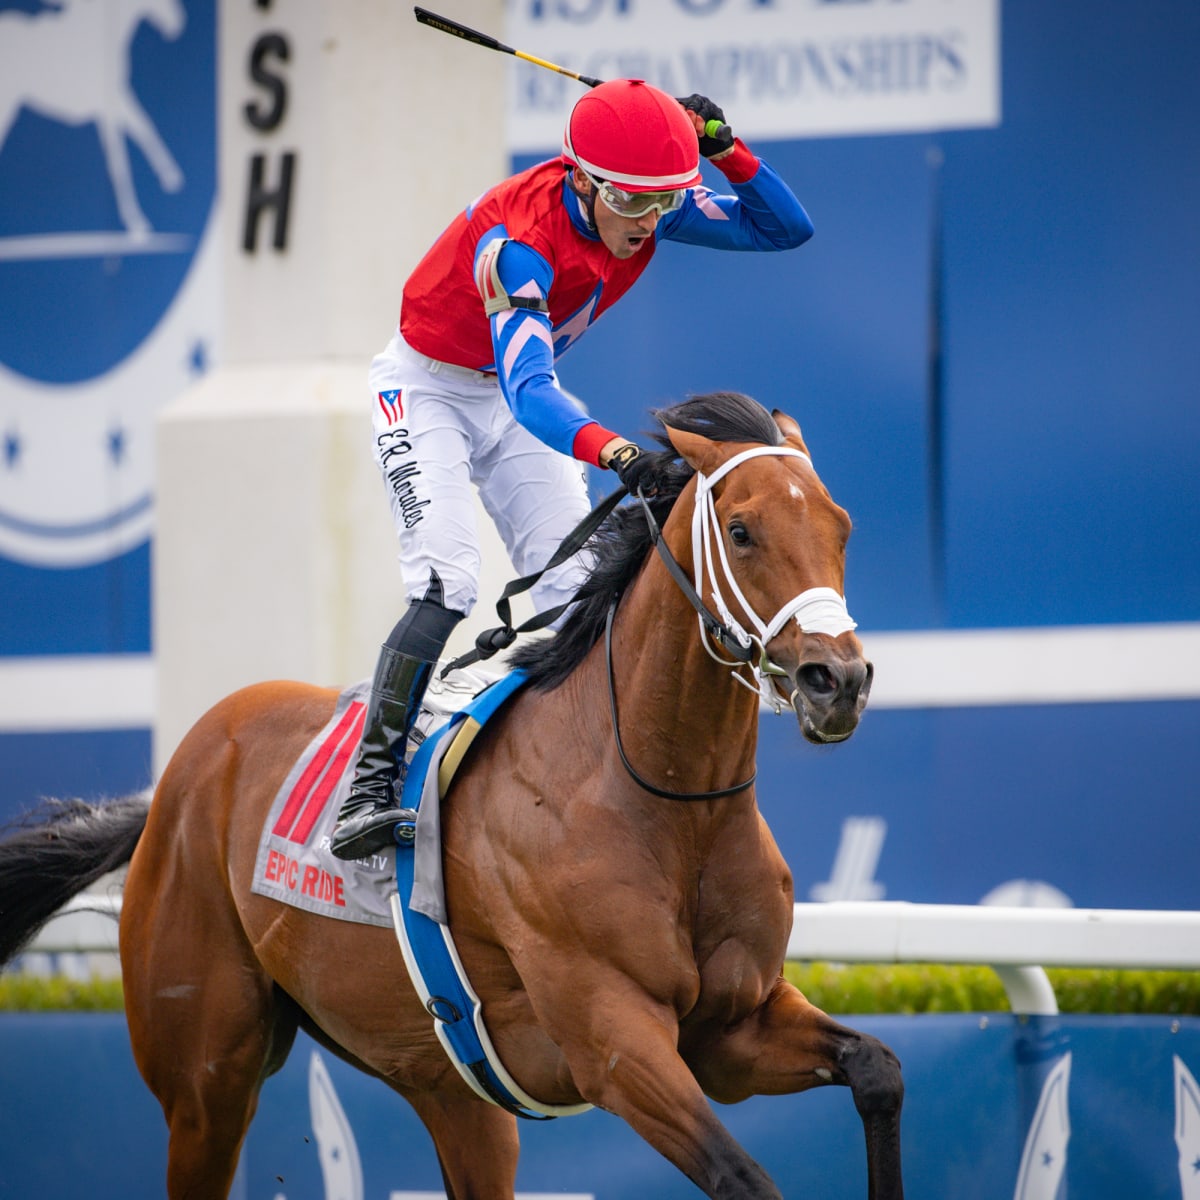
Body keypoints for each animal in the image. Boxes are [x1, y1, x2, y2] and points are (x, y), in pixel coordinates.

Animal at [0, 391, 904, 1199]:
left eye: (842, 527)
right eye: (743, 531)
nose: (838, 682)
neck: (666, 803)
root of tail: (171, 788)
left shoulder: (733, 1031)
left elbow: (879, 1069)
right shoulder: (616, 1043)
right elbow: (742, 1175)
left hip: (453, 1092)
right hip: (204, 1084)